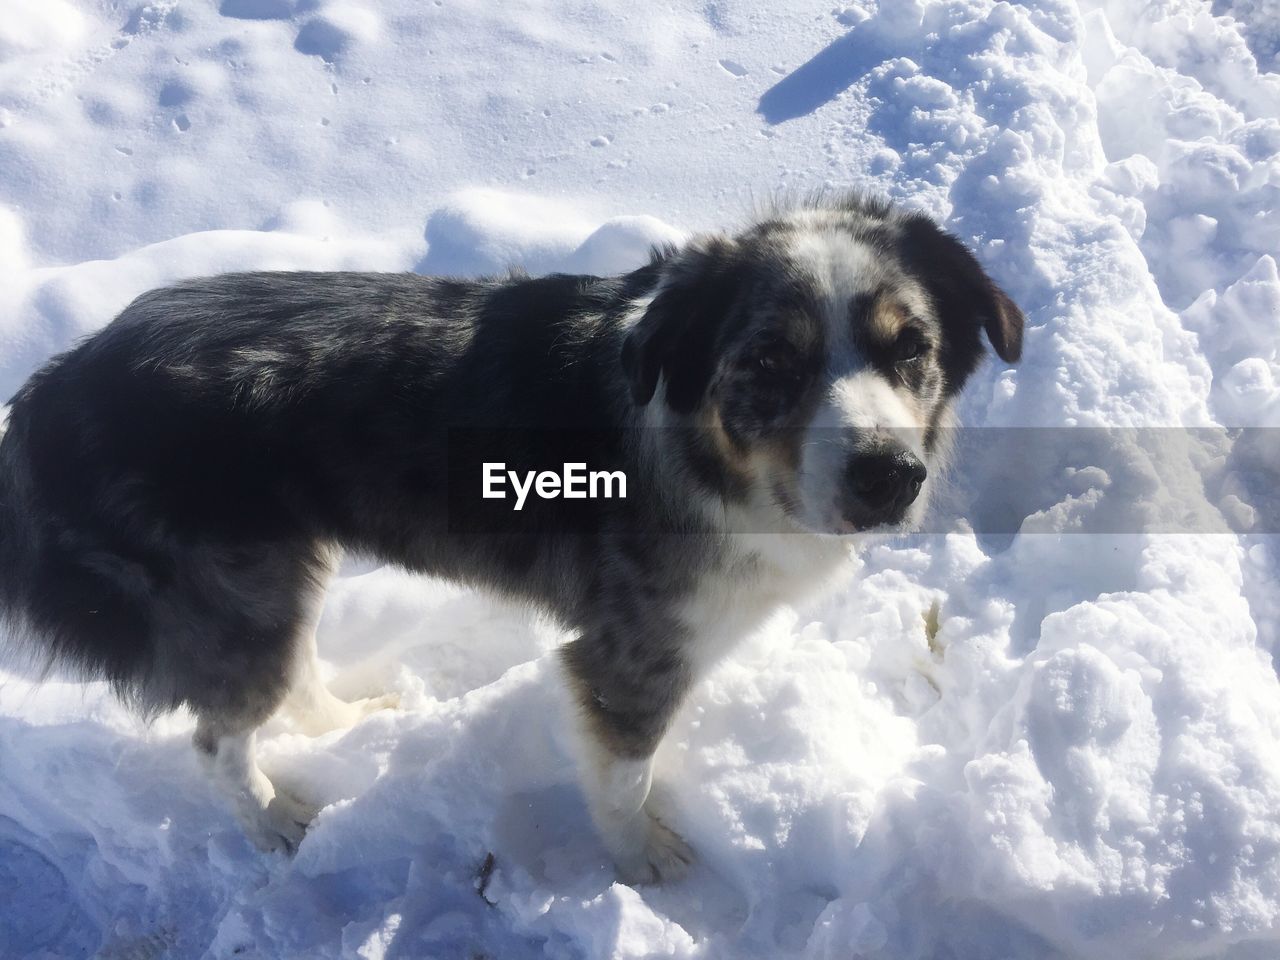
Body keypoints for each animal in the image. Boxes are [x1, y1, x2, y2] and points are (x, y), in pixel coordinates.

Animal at [0, 195, 1018, 885]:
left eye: (911, 348)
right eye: (769, 361)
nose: (888, 477)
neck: (709, 457)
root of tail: (58, 381)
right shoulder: (628, 653)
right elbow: (625, 779)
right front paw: (640, 862)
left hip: (270, 576)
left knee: (285, 675)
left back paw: (352, 723)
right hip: (235, 590)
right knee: (217, 736)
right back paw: (273, 822)